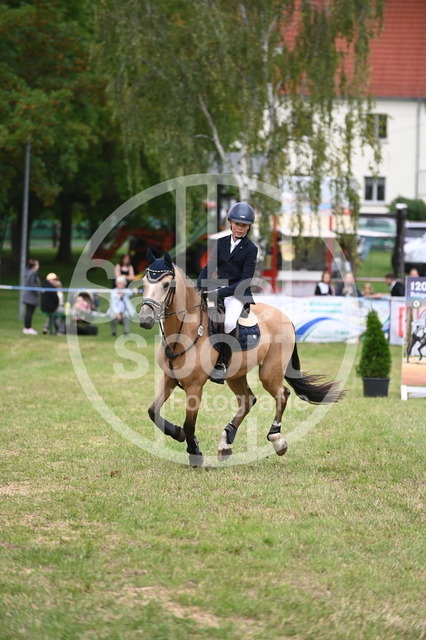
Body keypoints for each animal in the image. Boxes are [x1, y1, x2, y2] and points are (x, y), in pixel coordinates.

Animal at [138, 251, 344, 466]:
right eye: (144, 283)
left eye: (166, 285)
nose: (145, 319)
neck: (184, 331)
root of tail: (284, 316)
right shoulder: (168, 378)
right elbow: (153, 412)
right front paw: (177, 434)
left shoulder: (195, 386)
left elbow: (189, 424)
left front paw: (194, 453)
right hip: (235, 375)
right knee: (247, 400)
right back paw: (225, 443)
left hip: (269, 372)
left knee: (281, 394)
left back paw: (276, 439)